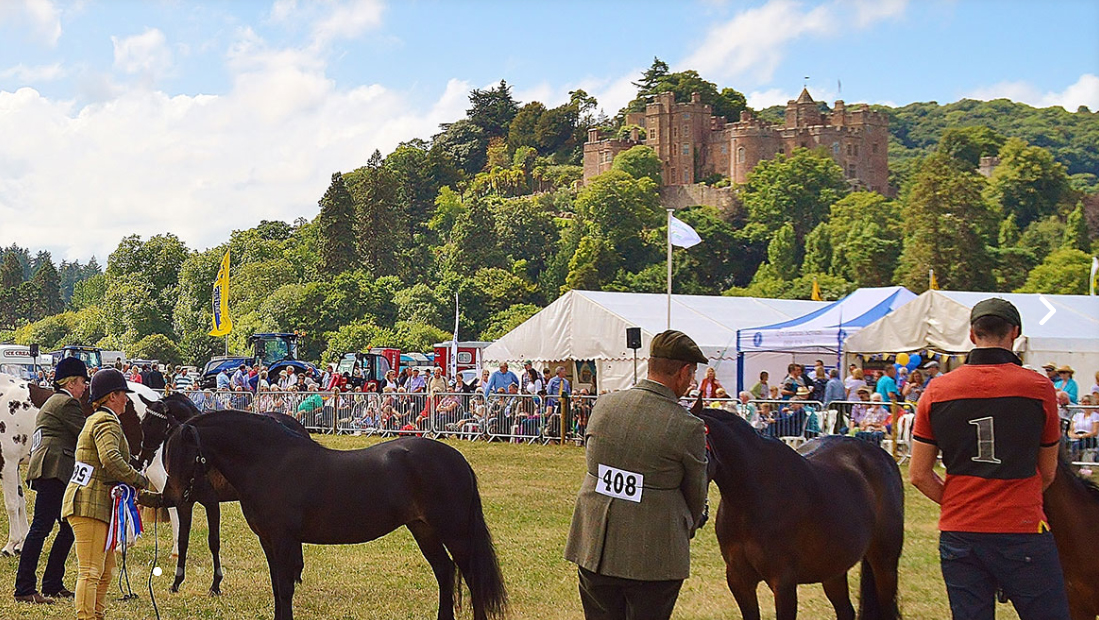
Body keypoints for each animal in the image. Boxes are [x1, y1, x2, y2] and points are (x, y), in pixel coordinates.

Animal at [137, 391, 312, 593]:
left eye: (156, 425)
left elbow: (214, 541)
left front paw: (215, 584)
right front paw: (176, 582)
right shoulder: (184, 502)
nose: (142, 459)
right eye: (143, 425)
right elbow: (183, 540)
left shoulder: (211, 503)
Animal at [160, 408, 507, 615]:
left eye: (182, 455)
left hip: (455, 533)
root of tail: (458, 459)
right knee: (445, 572)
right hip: (424, 529)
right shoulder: (268, 541)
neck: (270, 463)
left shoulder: (284, 540)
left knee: (471, 578)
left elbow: (285, 588)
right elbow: (277, 587)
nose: (168, 499)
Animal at [694, 404, 901, 615]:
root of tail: (881, 455)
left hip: (885, 564)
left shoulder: (783, 583)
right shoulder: (739, 580)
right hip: (833, 569)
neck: (752, 500)